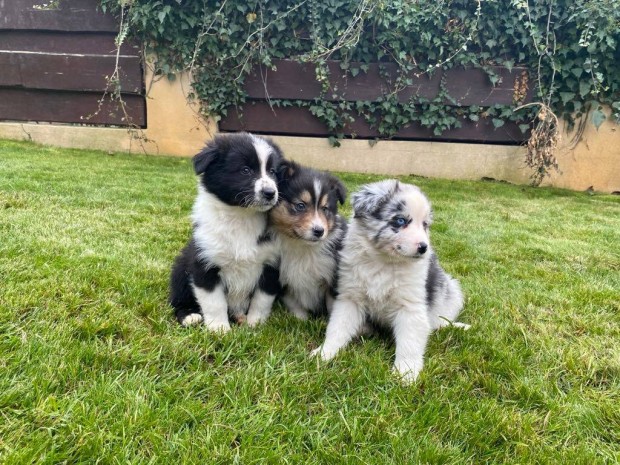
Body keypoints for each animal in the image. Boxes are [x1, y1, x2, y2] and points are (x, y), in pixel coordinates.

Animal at [171, 132, 284, 332]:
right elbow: (214, 302)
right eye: (245, 170)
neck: (241, 216)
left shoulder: (271, 264)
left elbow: (261, 300)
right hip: (180, 268)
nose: (270, 192)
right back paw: (190, 315)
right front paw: (219, 329)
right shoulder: (205, 262)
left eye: (272, 172)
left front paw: (256, 324)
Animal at [245, 161, 346, 324]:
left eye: (325, 208)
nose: (319, 231)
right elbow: (294, 304)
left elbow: (333, 306)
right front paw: (301, 319)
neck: (302, 246)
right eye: (300, 205)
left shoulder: (332, 278)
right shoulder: (283, 281)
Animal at [312, 179, 468, 382]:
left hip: (451, 290)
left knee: (437, 322)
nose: (424, 248)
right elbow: (337, 327)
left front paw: (406, 373)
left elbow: (409, 342)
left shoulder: (411, 307)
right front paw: (324, 353)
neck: (384, 262)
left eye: (425, 225)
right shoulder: (350, 299)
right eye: (400, 220)